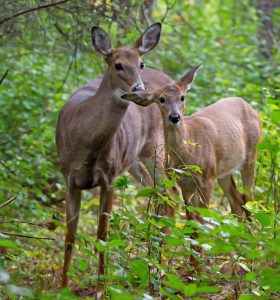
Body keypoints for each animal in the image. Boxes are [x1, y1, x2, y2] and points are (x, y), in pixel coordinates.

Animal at [55, 24, 174, 288]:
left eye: (141, 63)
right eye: (118, 65)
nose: (140, 90)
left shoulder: (109, 178)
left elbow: (102, 234)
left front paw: (101, 287)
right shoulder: (69, 178)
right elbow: (69, 235)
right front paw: (62, 287)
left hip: (156, 149)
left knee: (169, 196)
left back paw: (162, 270)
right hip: (134, 162)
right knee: (159, 197)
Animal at [122, 66, 262, 220]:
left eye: (182, 97)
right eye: (162, 99)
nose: (175, 117)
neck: (188, 151)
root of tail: (251, 108)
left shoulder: (207, 178)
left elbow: (202, 218)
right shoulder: (184, 182)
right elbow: (191, 219)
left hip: (251, 157)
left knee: (249, 200)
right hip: (224, 170)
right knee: (237, 202)